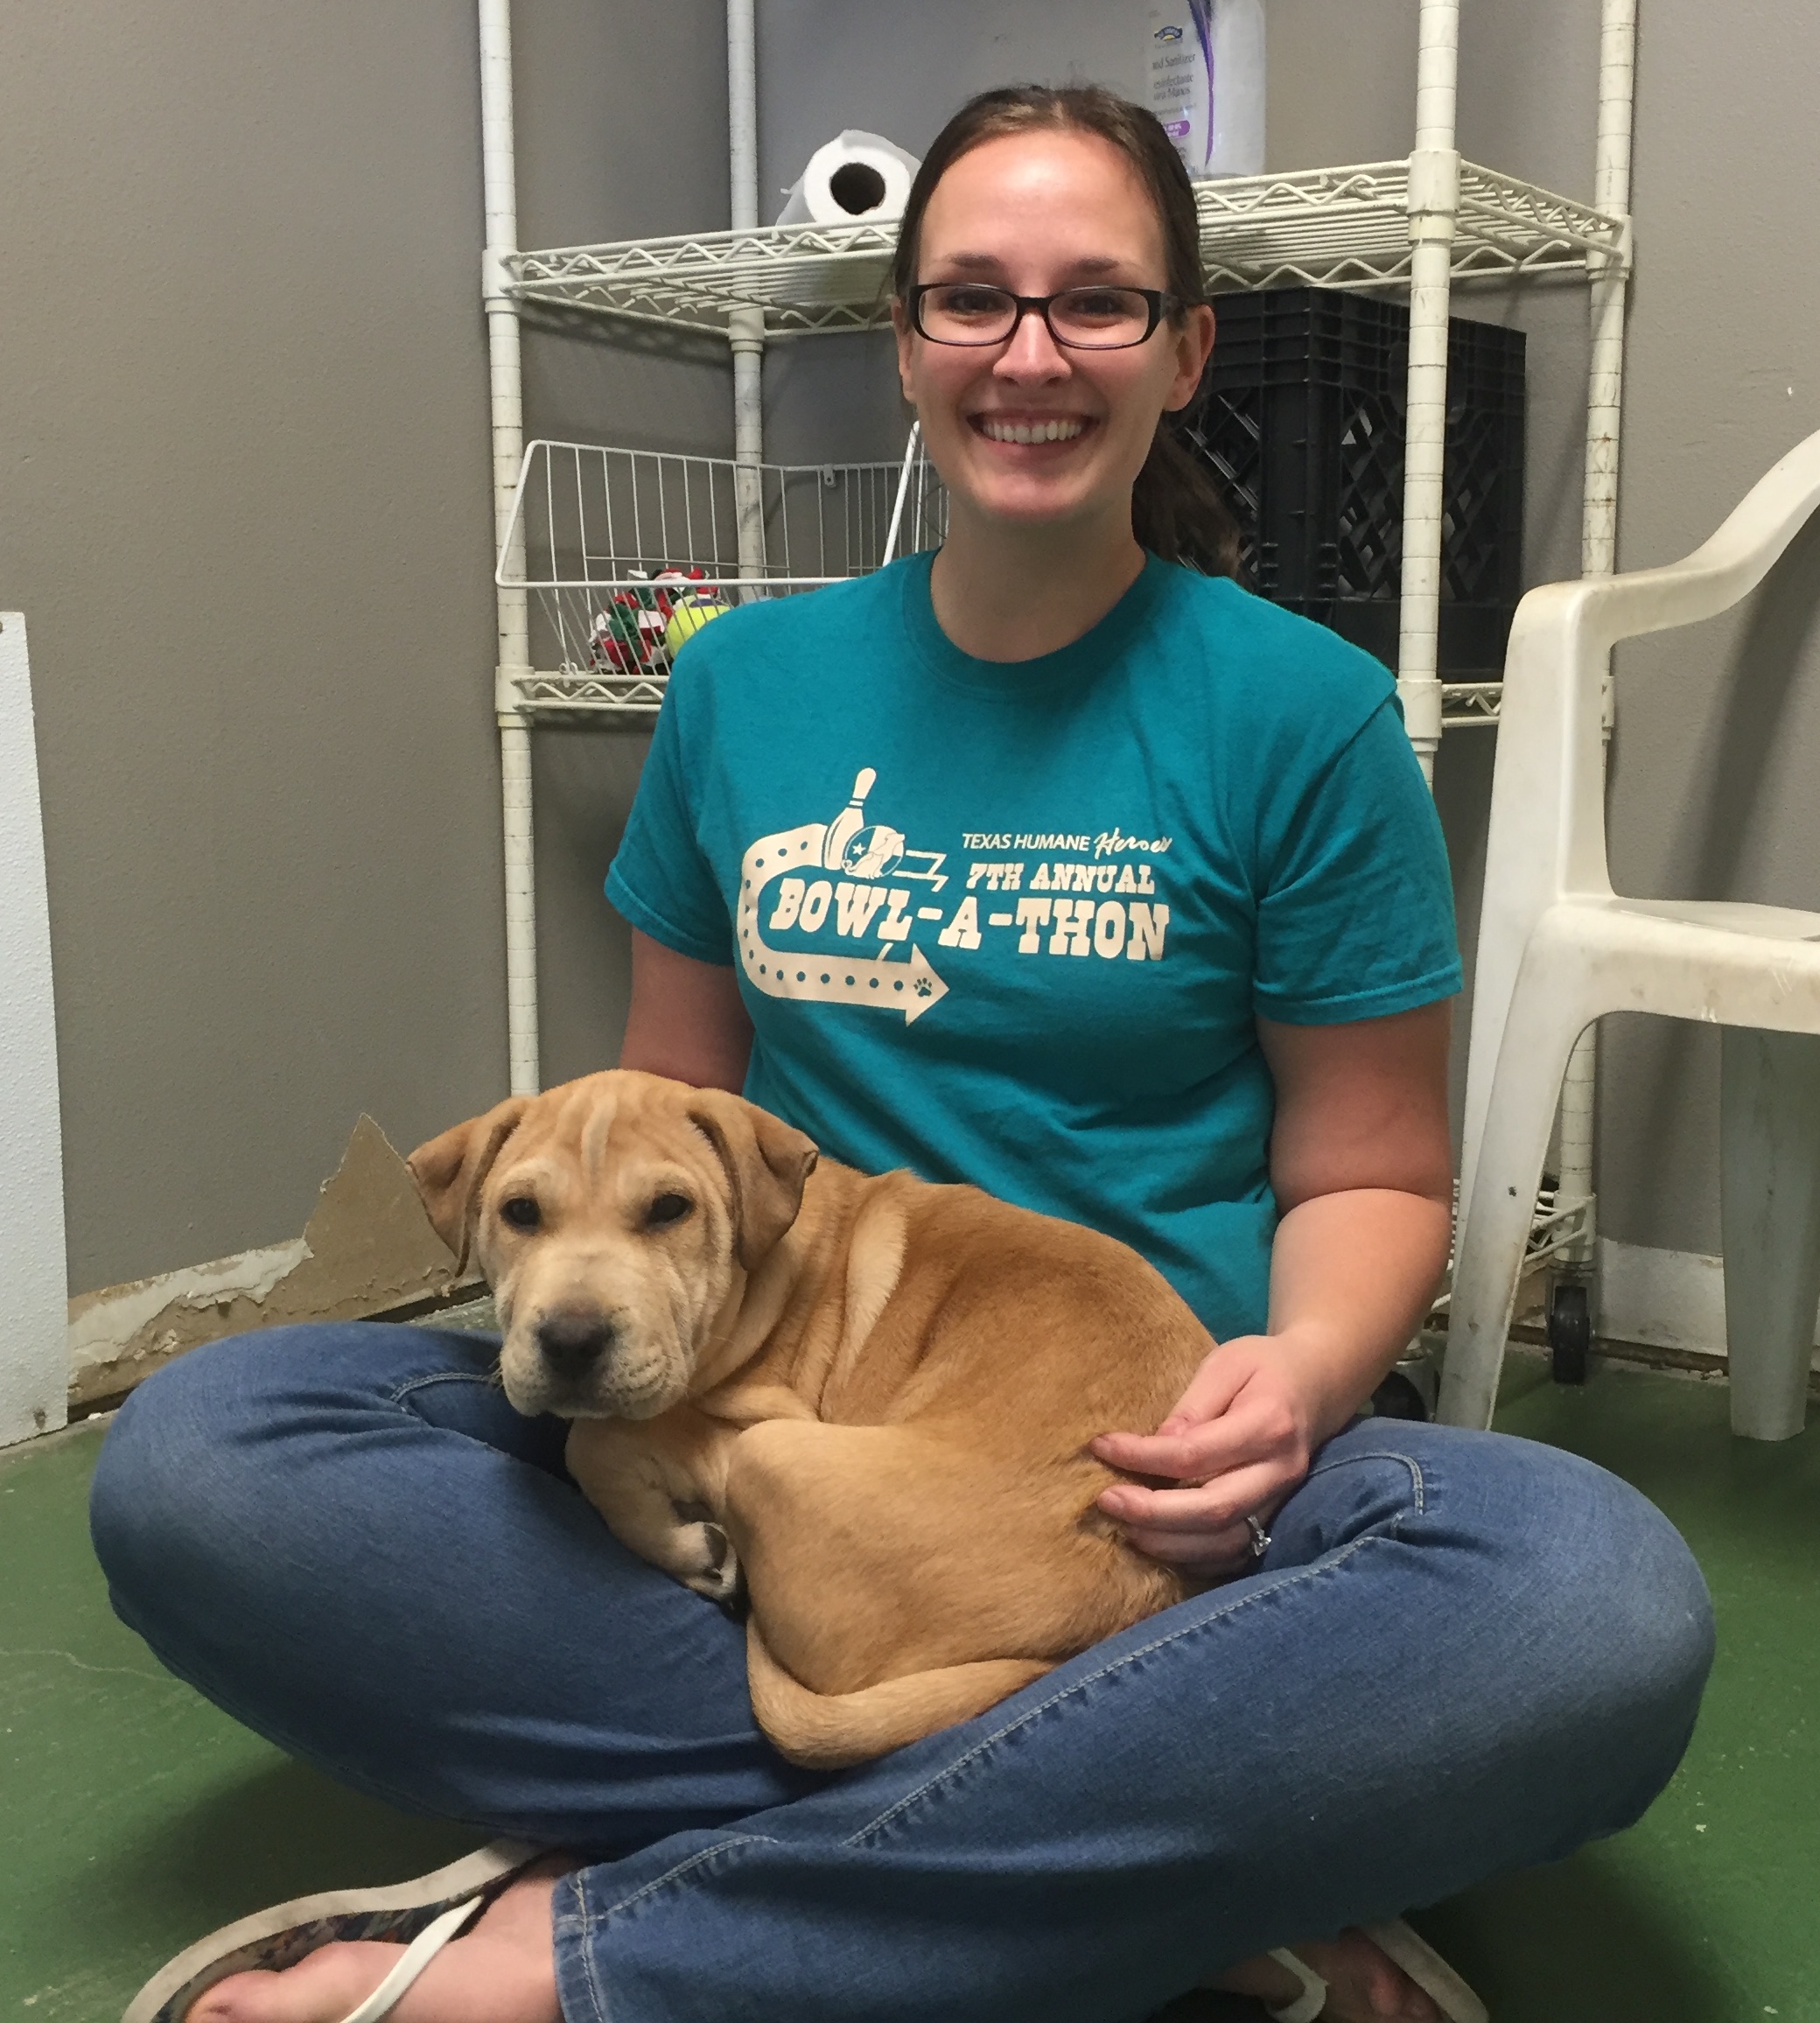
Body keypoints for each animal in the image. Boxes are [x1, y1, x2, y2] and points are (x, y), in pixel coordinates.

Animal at [404, 1068, 1213, 1764]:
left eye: (670, 1209)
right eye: (520, 1214)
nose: (570, 1342)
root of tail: (1135, 1590)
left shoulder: (747, 1421)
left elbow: (599, 1438)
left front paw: (691, 1546)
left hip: (775, 1455)